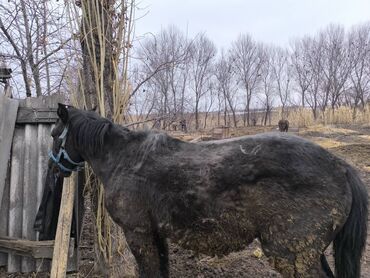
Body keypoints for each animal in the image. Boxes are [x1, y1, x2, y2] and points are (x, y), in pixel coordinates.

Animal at [49, 104, 368, 278]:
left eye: (54, 134)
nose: (53, 169)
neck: (123, 157)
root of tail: (343, 168)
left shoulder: (138, 233)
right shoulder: (156, 233)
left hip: (292, 255)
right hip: (308, 253)